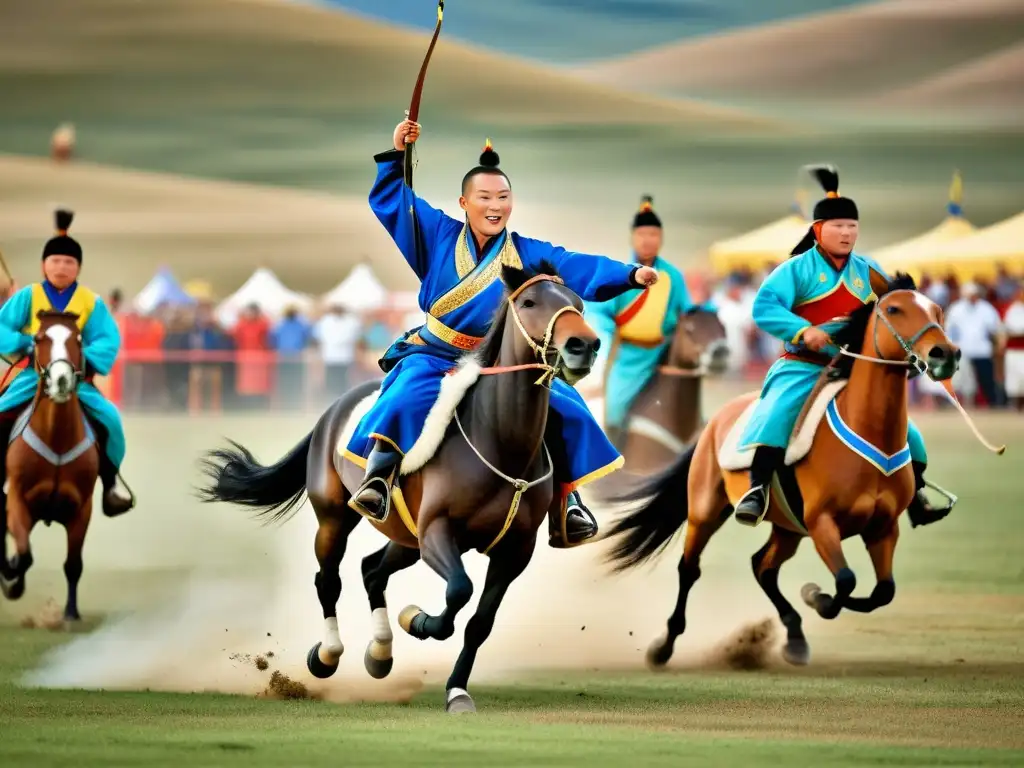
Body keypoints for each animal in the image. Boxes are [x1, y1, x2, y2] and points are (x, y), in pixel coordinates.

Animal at [602, 274, 1003, 667]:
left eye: (937, 310)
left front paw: (816, 600)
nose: (945, 354)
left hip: (787, 527)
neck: (869, 429)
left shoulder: (883, 528)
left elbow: (881, 592)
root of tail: (716, 419)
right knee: (690, 569)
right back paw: (664, 645)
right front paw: (817, 597)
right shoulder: (822, 522)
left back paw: (794, 636)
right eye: (894, 309)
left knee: (763, 566)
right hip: (705, 510)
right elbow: (845, 580)